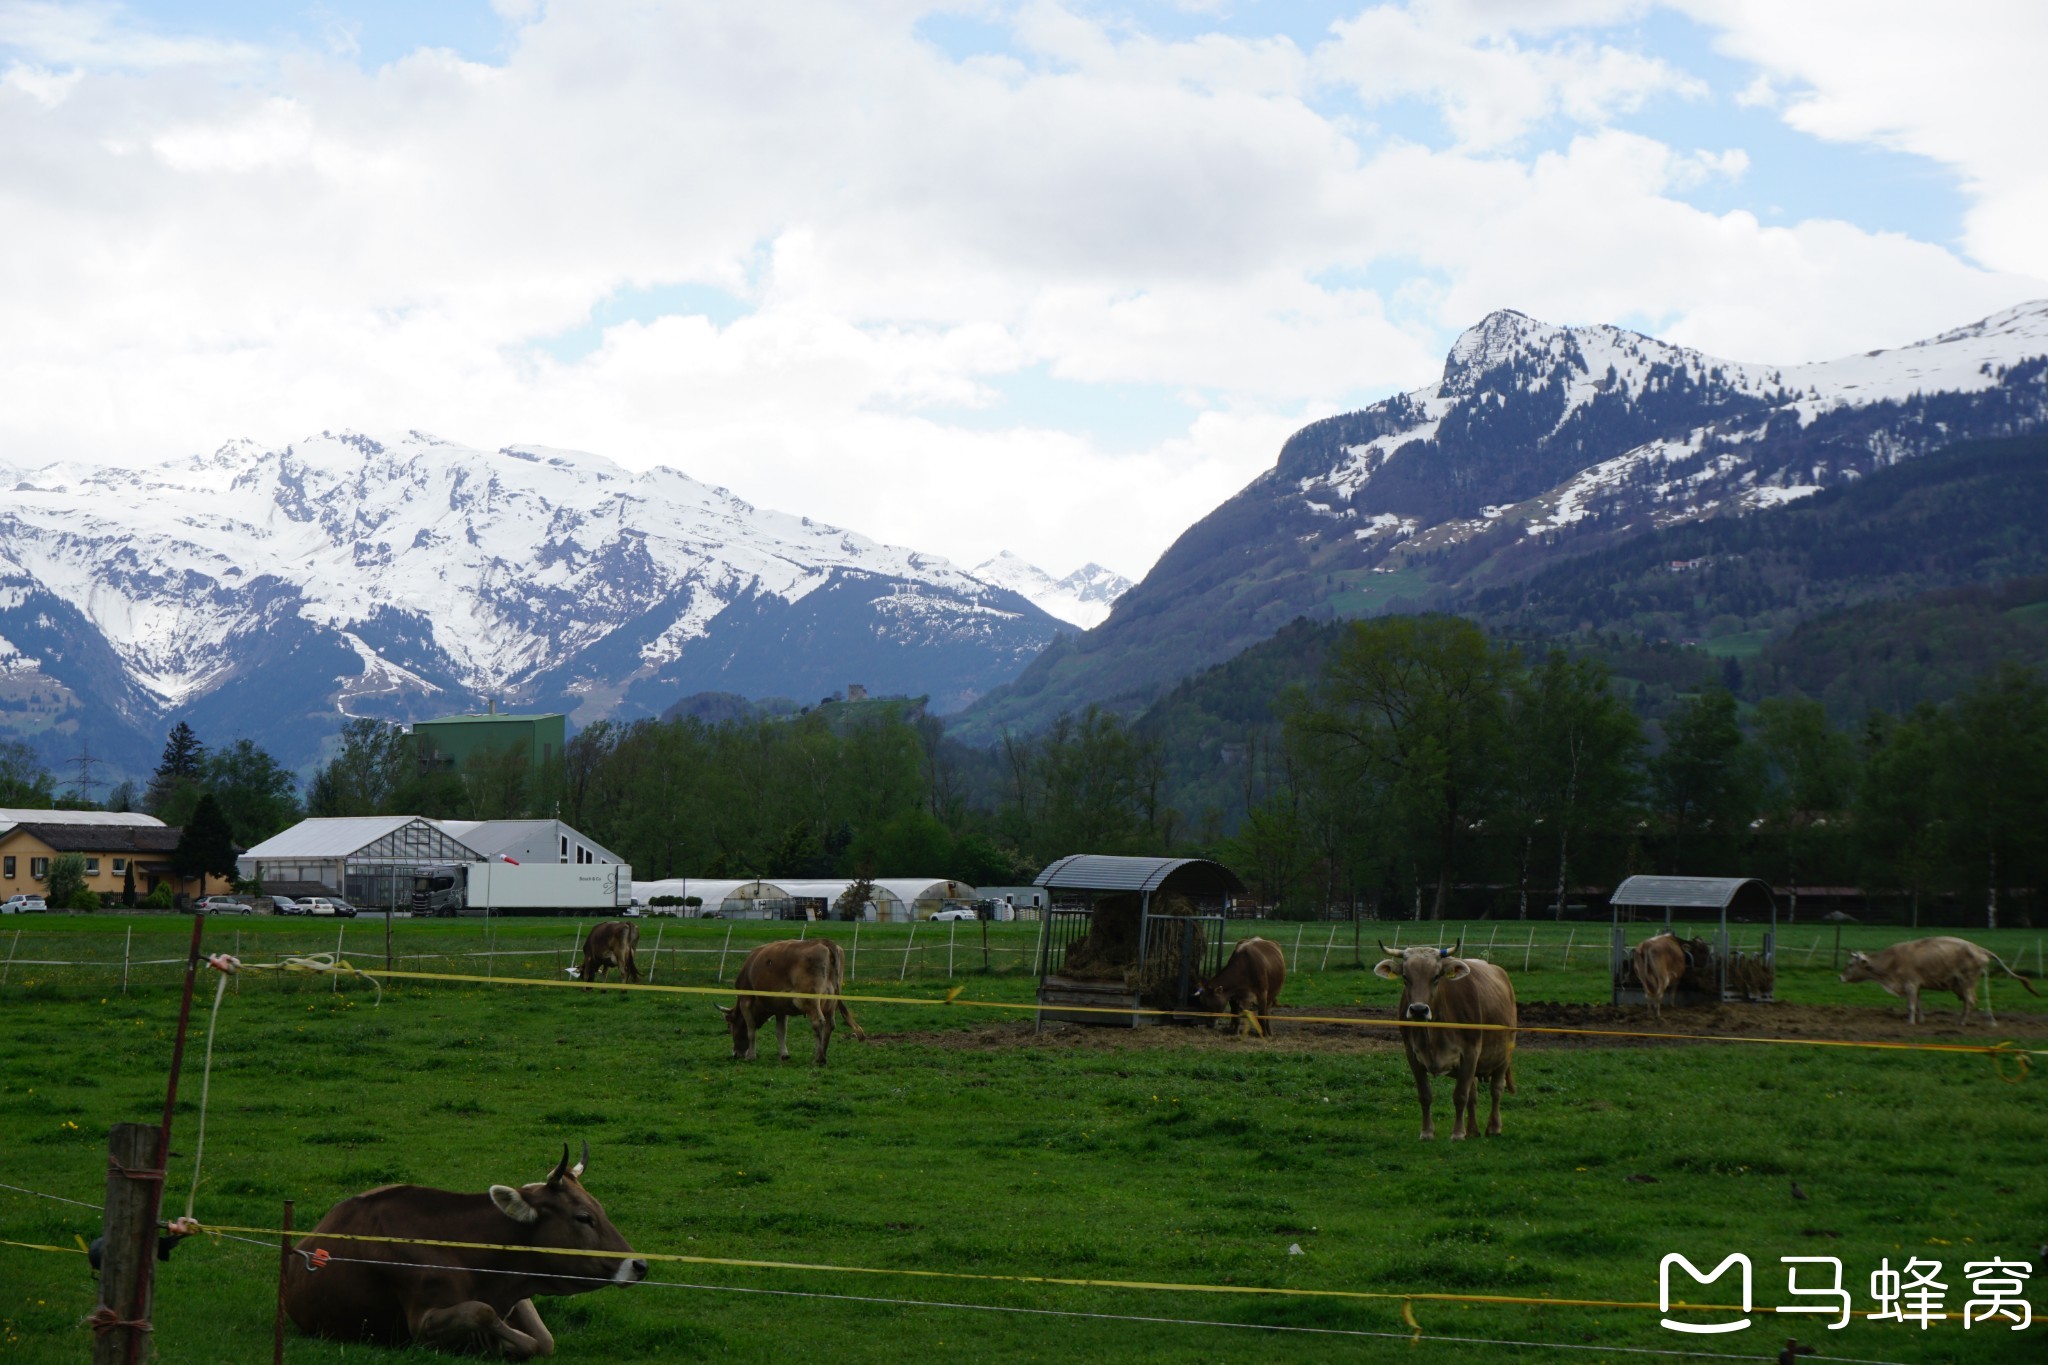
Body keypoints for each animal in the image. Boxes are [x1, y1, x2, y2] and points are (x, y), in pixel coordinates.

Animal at [284, 1146, 643, 1358]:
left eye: (600, 1209)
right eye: (583, 1217)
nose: (639, 1265)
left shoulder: (518, 1295)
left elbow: (543, 1340)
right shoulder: (422, 1322)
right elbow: (483, 1313)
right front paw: (491, 1343)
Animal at [720, 941, 864, 1064]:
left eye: (730, 1026)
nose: (735, 1053)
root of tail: (825, 942)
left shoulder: (746, 1000)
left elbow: (751, 1031)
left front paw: (751, 1056)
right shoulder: (780, 1008)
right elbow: (781, 1032)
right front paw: (784, 1054)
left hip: (811, 1000)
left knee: (818, 1022)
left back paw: (818, 1058)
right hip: (831, 1002)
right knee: (830, 1024)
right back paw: (823, 1054)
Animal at [1376, 941, 1523, 1146]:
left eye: (1436, 976)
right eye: (1405, 977)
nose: (1419, 1010)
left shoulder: (1470, 1053)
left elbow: (1460, 1096)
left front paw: (1457, 1133)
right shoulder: (1412, 1056)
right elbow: (1425, 1095)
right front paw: (1427, 1132)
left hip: (1504, 1056)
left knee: (1496, 1090)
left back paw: (1493, 1127)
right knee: (1473, 1095)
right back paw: (1472, 1130)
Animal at [1843, 941, 2031, 1023]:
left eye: (1850, 964)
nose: (1841, 977)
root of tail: (1980, 949)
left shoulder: (1910, 984)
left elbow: (1911, 1005)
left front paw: (1910, 1022)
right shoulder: (1916, 986)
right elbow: (1918, 1004)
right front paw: (1921, 1020)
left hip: (1966, 982)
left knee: (1970, 1001)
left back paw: (1962, 1022)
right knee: (1969, 1001)